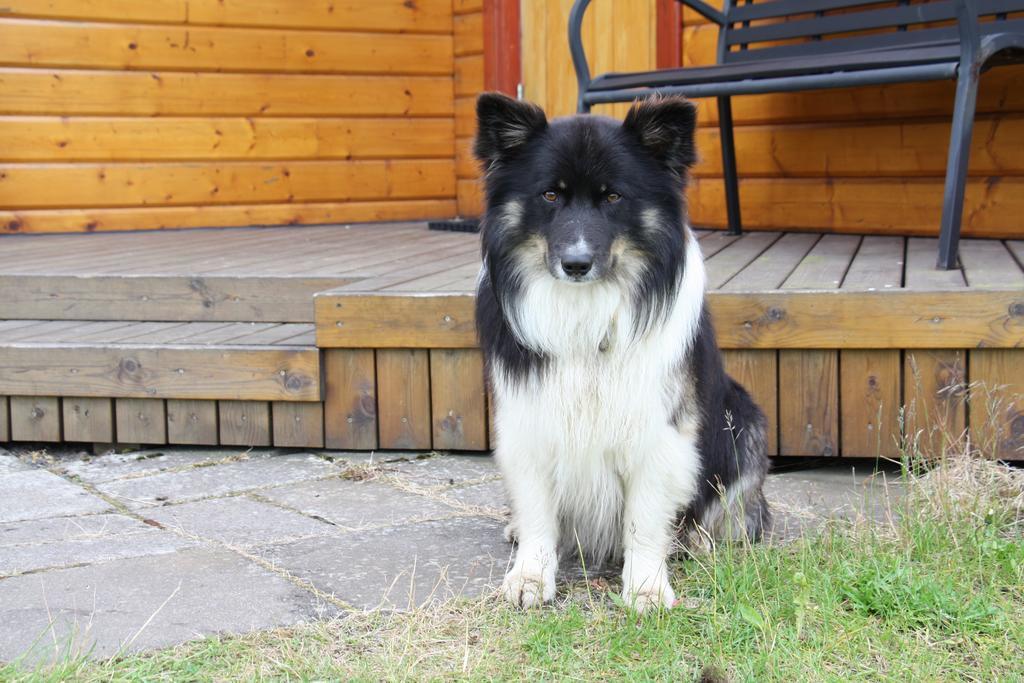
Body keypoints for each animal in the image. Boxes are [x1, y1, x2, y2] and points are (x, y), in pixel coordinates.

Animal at [471, 93, 770, 610]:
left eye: (613, 197)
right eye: (550, 195)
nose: (576, 264)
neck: (586, 313)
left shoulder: (659, 430)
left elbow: (645, 518)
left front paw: (646, 586)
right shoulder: (529, 421)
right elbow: (537, 511)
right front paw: (530, 574)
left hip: (744, 419)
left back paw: (695, 540)